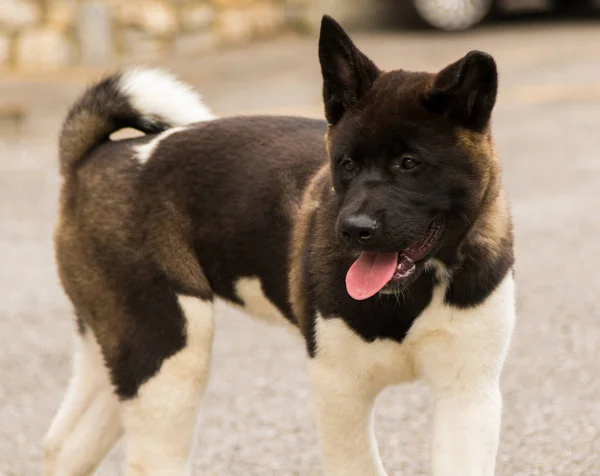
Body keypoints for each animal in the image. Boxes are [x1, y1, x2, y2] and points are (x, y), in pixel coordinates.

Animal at [45, 14, 516, 476]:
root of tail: (93, 157)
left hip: (123, 350)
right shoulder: (339, 391)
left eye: (409, 163)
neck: (417, 289)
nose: (352, 229)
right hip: (167, 352)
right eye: (346, 164)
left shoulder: (468, 395)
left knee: (64, 447)